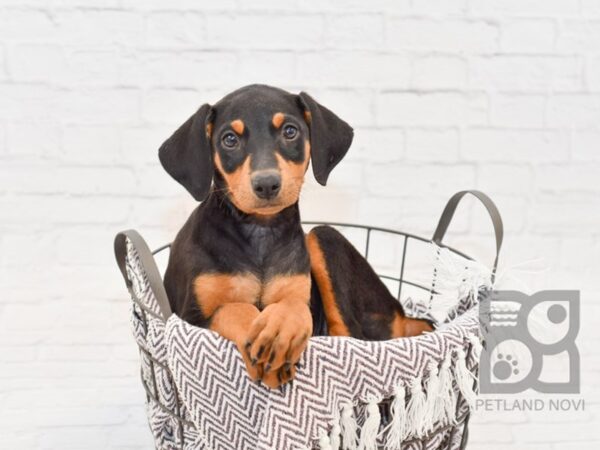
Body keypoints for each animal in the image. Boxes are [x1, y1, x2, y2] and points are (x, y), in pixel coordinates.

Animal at [159, 86, 432, 388]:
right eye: (229, 139)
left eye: (290, 131)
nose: (267, 184)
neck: (260, 231)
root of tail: (402, 314)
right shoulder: (189, 318)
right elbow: (232, 308)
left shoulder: (298, 294)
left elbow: (294, 306)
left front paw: (280, 331)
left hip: (322, 237)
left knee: (350, 337)